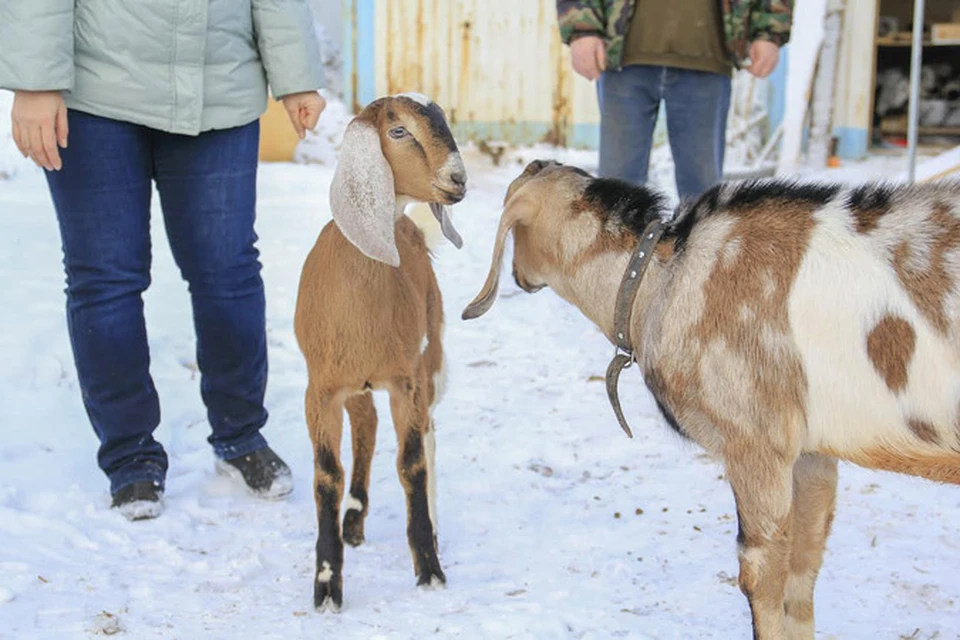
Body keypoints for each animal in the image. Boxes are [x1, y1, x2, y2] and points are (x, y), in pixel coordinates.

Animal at [296, 94, 468, 608]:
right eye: (398, 131)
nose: (458, 179)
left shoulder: (404, 381)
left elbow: (412, 464)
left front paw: (429, 568)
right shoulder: (321, 389)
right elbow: (326, 476)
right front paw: (327, 585)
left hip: (428, 359)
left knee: (427, 434)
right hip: (355, 382)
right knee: (367, 427)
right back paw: (353, 519)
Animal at [462, 159, 960, 640]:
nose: (518, 277)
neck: (661, 275)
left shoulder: (755, 445)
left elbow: (762, 581)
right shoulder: (811, 455)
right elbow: (802, 576)